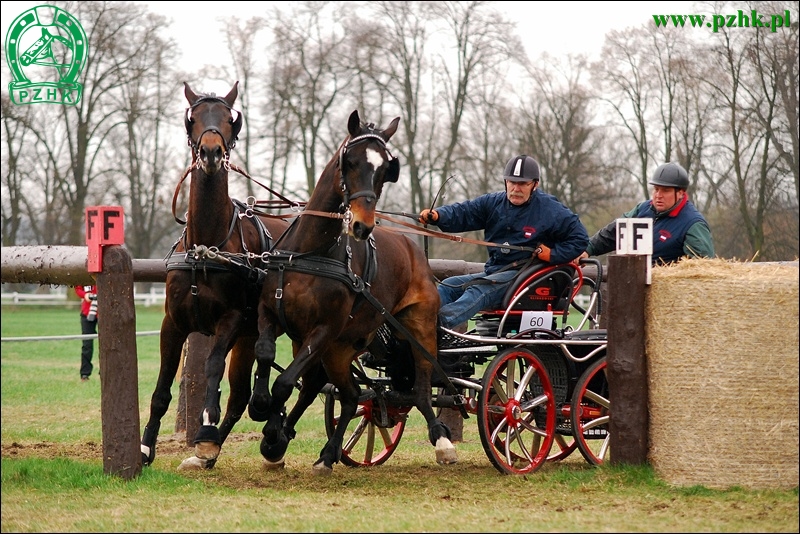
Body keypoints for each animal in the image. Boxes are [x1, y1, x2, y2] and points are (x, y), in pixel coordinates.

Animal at [142, 81, 290, 472]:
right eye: (193, 118)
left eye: (229, 119)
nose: (210, 152)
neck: (206, 247)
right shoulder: (173, 323)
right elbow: (162, 387)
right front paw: (145, 448)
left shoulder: (230, 320)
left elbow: (210, 367)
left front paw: (205, 430)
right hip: (250, 336)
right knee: (241, 396)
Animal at [248, 110, 456, 478]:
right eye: (351, 161)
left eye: (386, 169)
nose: (362, 224)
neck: (312, 253)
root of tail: (413, 249)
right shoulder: (272, 314)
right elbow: (265, 353)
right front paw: (262, 410)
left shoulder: (324, 330)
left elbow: (285, 381)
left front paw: (273, 432)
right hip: (340, 350)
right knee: (349, 395)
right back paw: (328, 453)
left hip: (416, 327)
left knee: (419, 388)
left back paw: (441, 439)